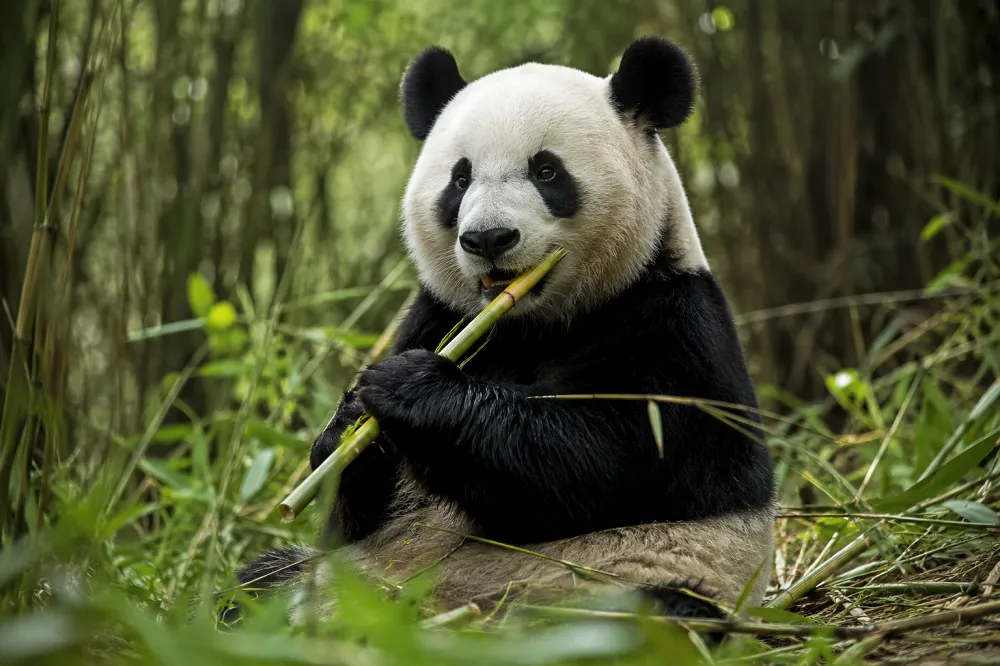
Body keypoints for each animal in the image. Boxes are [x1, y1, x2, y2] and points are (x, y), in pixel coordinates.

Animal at [229, 35, 776, 638]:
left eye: (547, 170)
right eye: (460, 178)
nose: (488, 238)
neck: (529, 324)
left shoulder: (673, 327)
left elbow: (594, 462)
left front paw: (412, 389)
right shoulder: (434, 315)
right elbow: (347, 521)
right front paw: (350, 428)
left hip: (636, 579)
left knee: (650, 618)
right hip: (346, 577)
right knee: (260, 582)